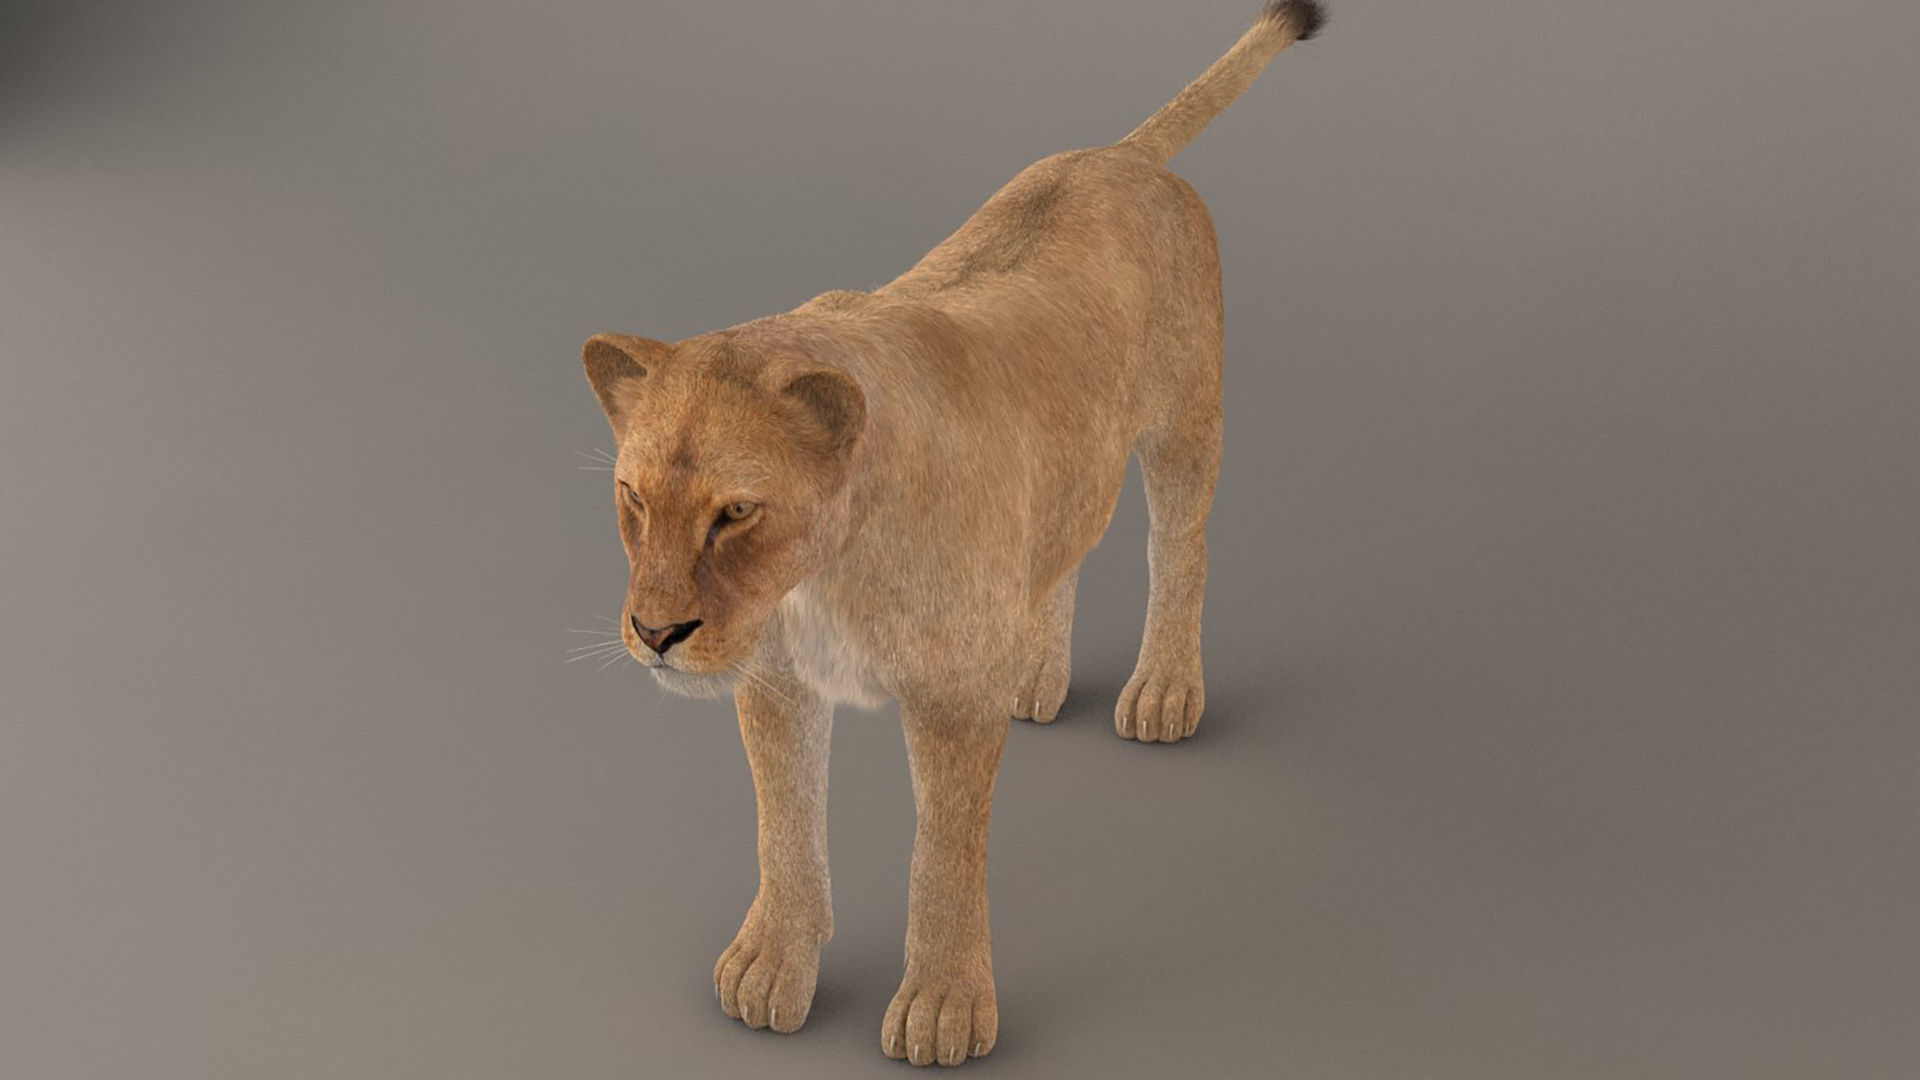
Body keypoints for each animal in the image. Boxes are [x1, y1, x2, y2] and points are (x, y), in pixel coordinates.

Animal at [581, 2, 1325, 1066]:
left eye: (736, 511)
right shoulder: (775, 680)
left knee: (1181, 544)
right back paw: (1034, 672)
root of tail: (1120, 155)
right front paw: (770, 967)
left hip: (1187, 423)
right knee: (1062, 545)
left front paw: (943, 1008)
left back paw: (1162, 692)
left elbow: (943, 853)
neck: (821, 577)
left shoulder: (947, 701)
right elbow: (784, 824)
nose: (655, 634)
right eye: (633, 497)